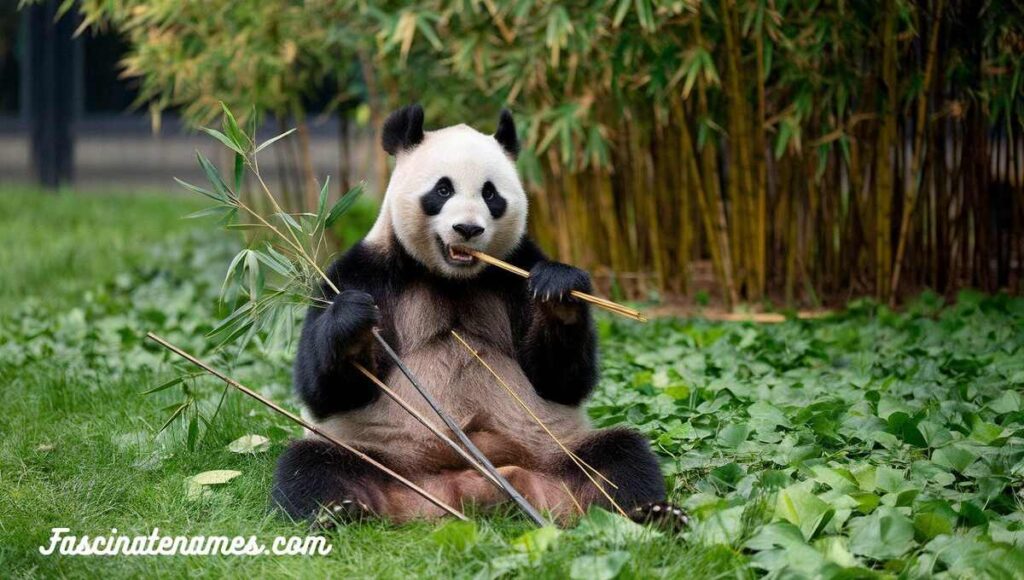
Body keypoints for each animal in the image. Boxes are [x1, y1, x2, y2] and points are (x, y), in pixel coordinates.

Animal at [272, 105, 688, 532]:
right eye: (442, 190)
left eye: (491, 194)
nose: (468, 229)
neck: (452, 278)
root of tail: (473, 491)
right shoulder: (361, 273)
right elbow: (325, 392)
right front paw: (354, 323)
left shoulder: (518, 268)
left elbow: (561, 381)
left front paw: (559, 292)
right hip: (376, 453)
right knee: (310, 465)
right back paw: (339, 513)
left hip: (557, 452)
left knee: (622, 455)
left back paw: (654, 513)